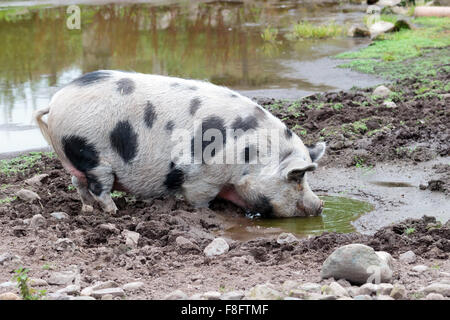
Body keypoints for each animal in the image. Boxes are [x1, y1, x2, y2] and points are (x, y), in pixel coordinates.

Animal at [34, 70, 324, 218]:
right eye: (297, 178)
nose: (319, 205)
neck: (249, 158)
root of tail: (56, 100)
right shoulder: (201, 177)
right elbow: (199, 199)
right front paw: (205, 213)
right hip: (90, 153)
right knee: (99, 188)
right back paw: (115, 212)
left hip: (76, 156)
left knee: (78, 184)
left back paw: (86, 209)